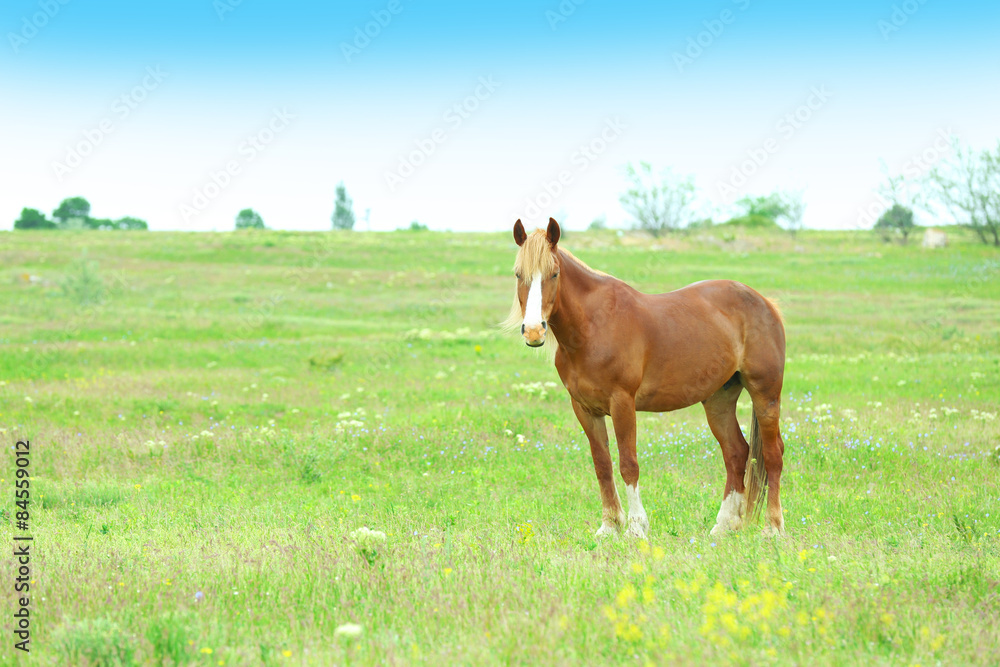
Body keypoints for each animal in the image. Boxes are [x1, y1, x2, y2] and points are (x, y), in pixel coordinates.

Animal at [506, 218, 787, 538]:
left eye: (554, 273)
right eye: (519, 274)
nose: (533, 331)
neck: (593, 327)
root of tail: (766, 303)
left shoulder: (622, 404)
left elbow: (628, 464)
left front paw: (636, 527)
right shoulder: (585, 409)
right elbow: (602, 464)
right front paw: (609, 526)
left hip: (765, 394)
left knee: (773, 453)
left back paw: (773, 528)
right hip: (719, 399)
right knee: (736, 453)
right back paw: (724, 525)